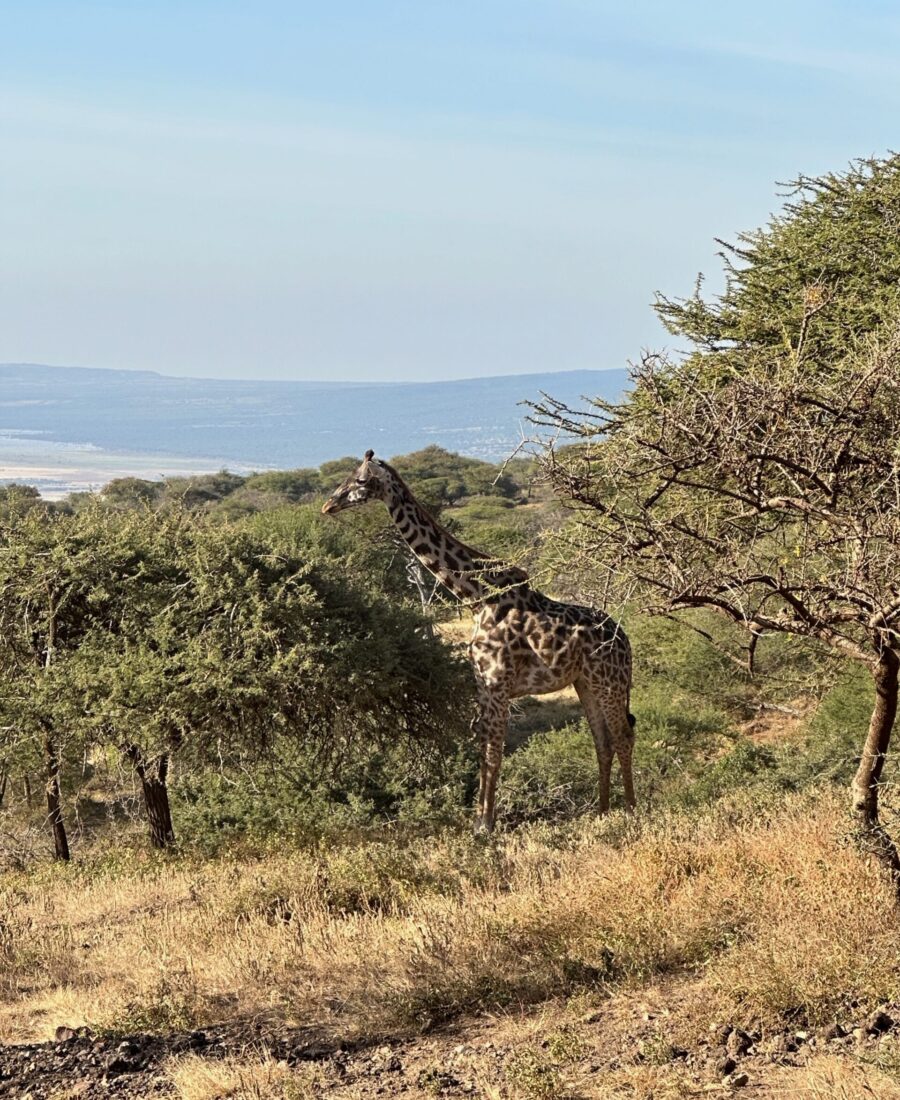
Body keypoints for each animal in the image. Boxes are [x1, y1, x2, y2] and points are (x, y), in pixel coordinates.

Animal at [321, 451, 629, 827]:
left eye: (361, 480)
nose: (328, 505)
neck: (476, 597)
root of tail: (626, 641)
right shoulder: (483, 685)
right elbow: (483, 752)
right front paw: (478, 819)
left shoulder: (497, 685)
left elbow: (494, 753)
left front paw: (487, 824)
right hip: (586, 682)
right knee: (603, 741)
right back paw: (603, 812)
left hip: (610, 682)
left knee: (623, 736)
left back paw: (631, 809)